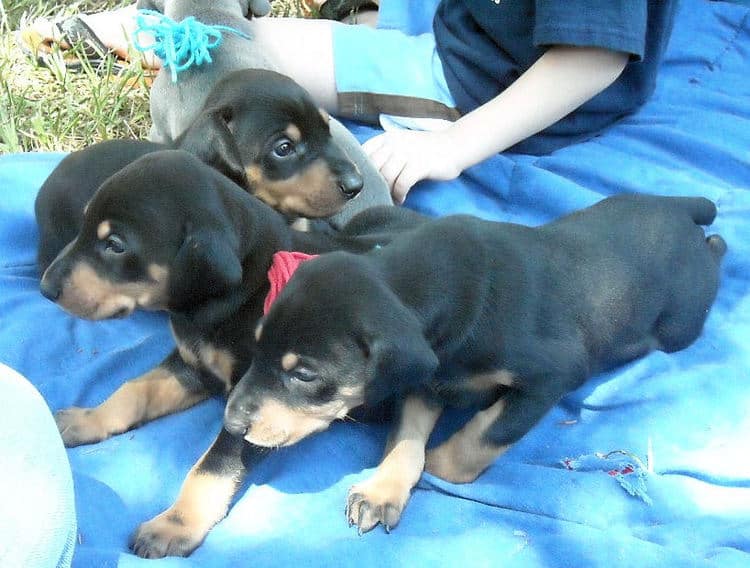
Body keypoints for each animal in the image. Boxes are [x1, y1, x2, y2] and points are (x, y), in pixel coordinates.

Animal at [39, 150, 424, 560]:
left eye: (115, 244)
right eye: (83, 225)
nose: (45, 288)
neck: (245, 291)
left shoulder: (258, 407)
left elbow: (213, 466)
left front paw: (174, 525)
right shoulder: (194, 365)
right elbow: (133, 390)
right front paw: (86, 419)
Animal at [225, 193, 728, 536]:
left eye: (304, 374)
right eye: (256, 346)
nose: (231, 424)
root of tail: (677, 205)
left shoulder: (553, 376)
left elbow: (484, 435)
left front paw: (438, 461)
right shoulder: (428, 378)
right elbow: (405, 438)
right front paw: (382, 491)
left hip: (681, 322)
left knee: (714, 252)